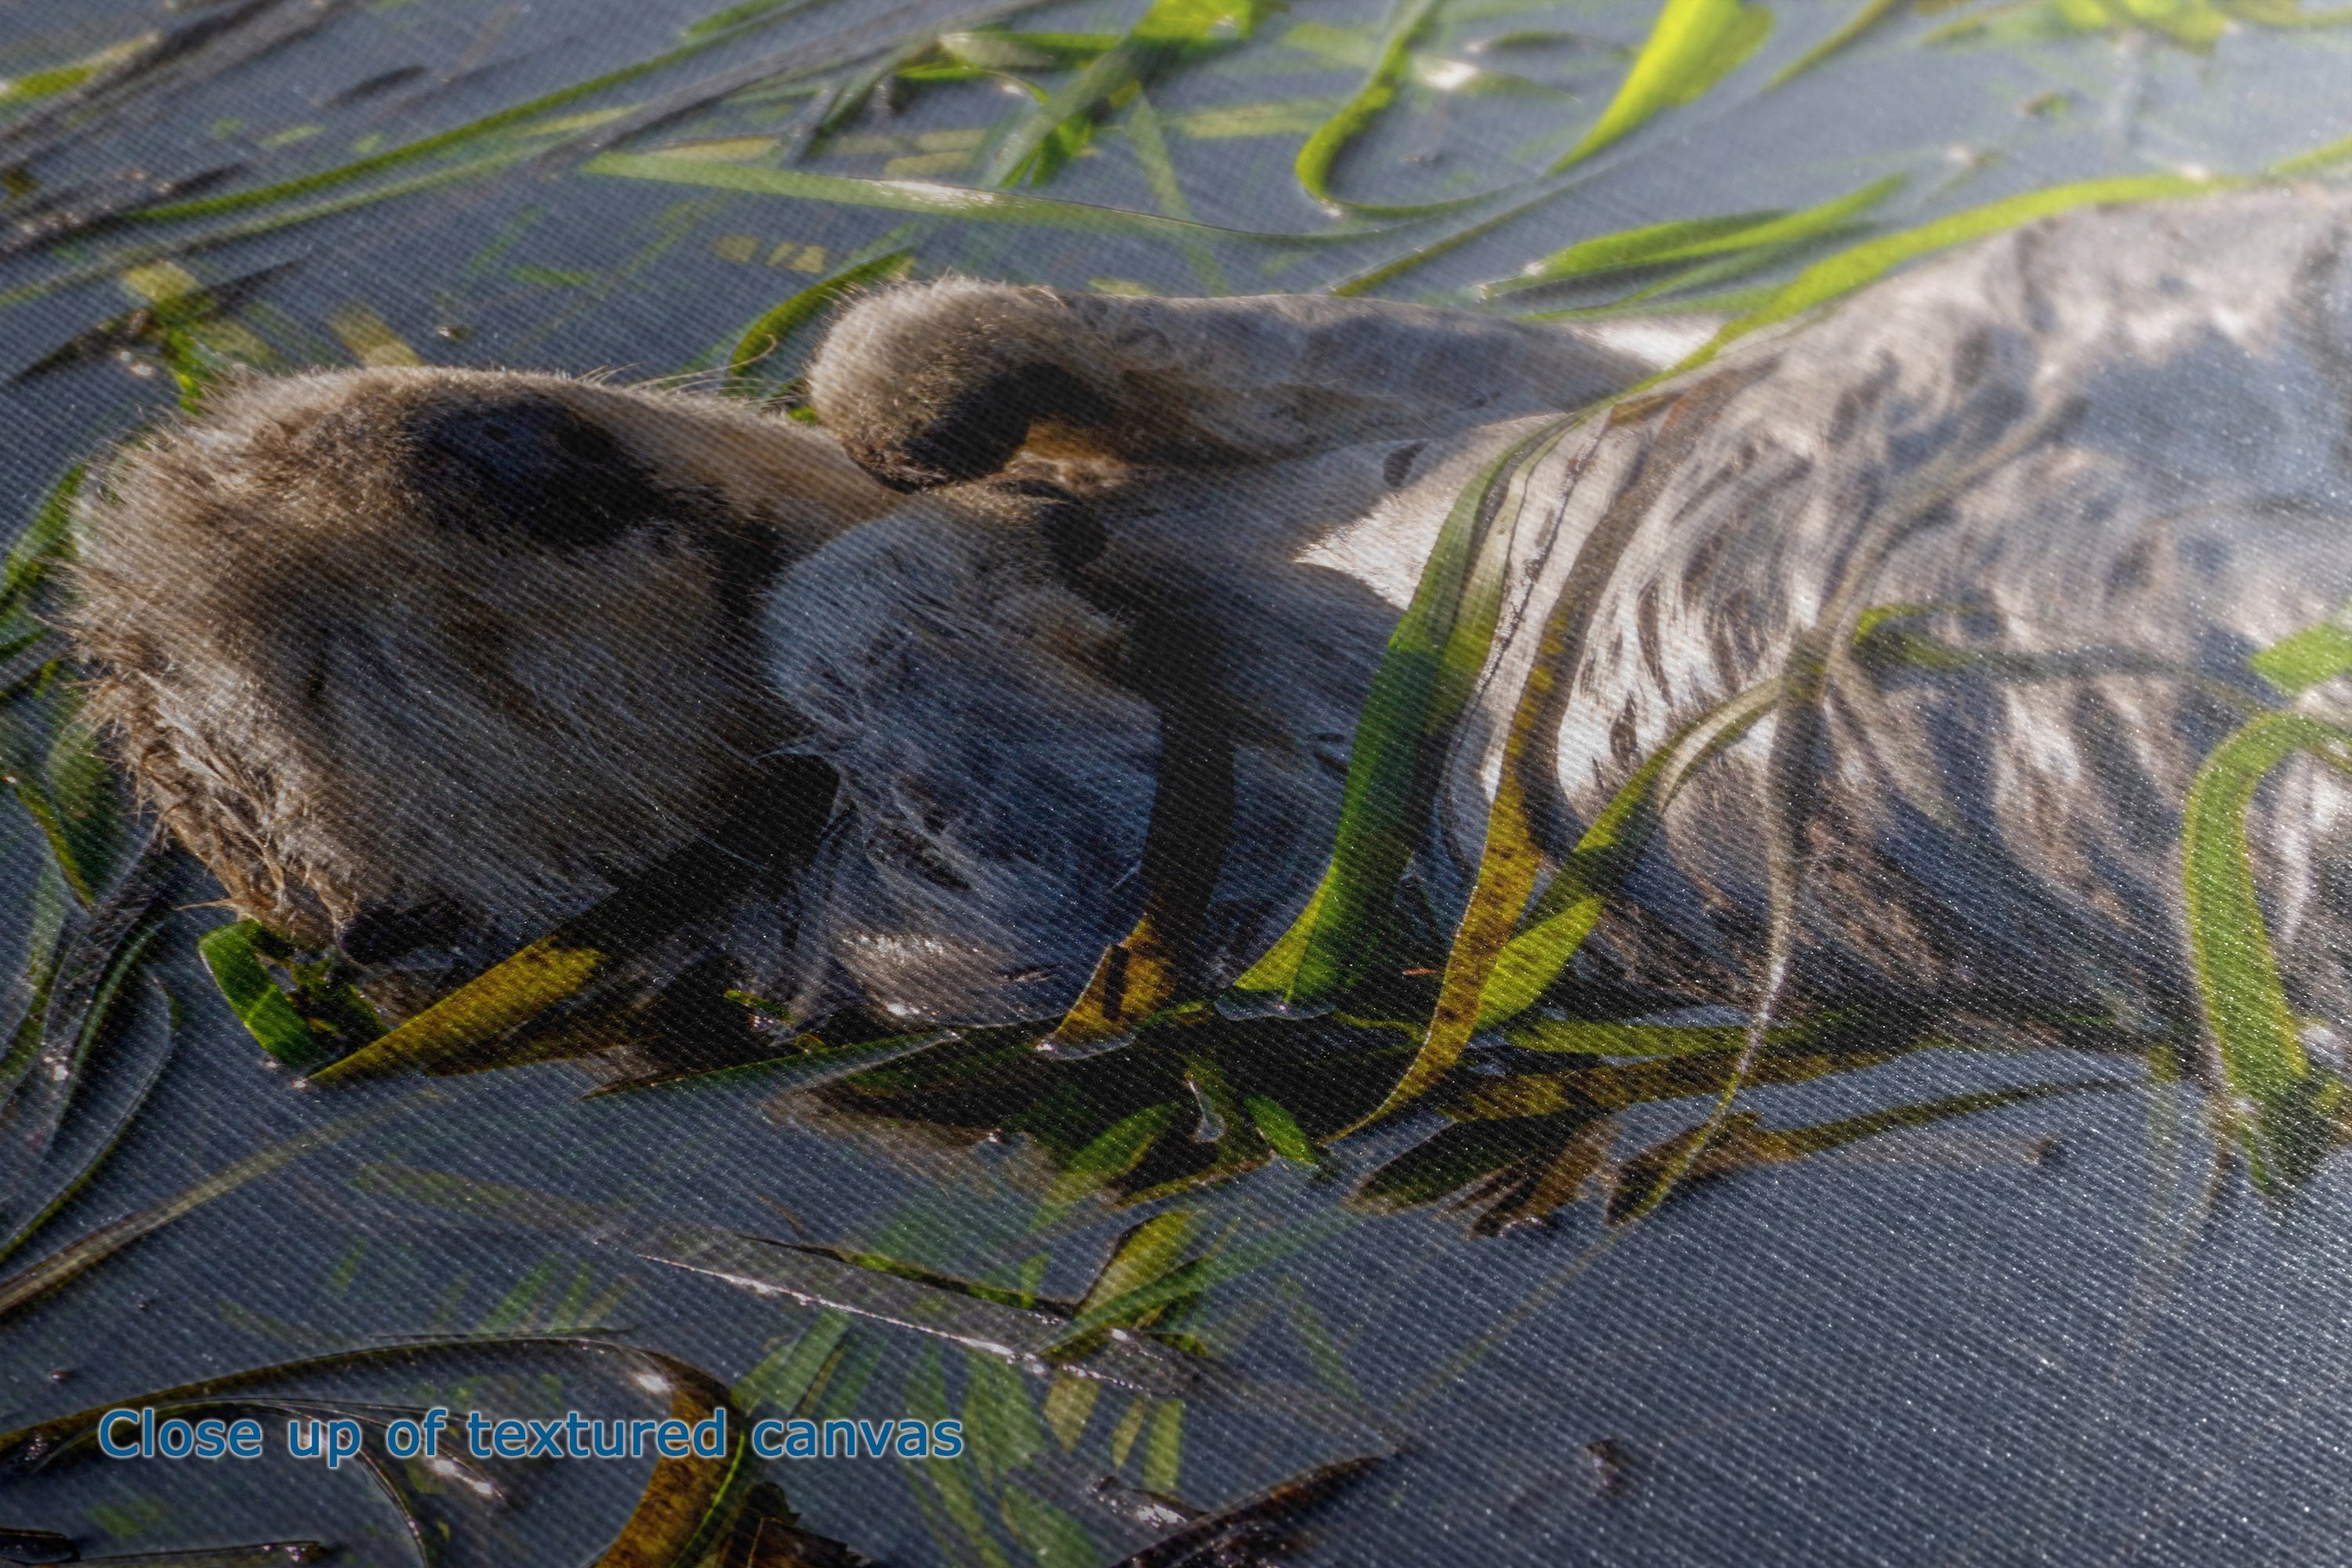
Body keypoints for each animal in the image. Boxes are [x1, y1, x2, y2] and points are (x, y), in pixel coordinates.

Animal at [59, 186, 2352, 1049]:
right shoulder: (954, 927)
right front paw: (966, 538)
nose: (504, 450)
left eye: (397, 424)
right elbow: (1027, 781)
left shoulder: (1436, 383)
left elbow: (1405, 348)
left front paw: (938, 405)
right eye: (331, 665)